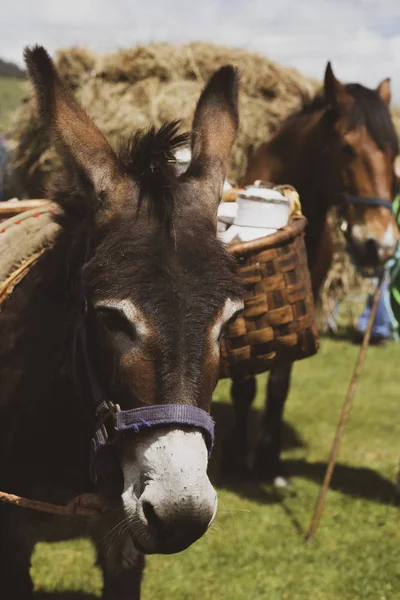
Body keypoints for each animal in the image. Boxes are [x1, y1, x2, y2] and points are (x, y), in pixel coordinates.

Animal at [231, 63, 400, 486]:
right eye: (346, 147)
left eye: (394, 152)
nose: (381, 245)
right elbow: (244, 382)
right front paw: (235, 458)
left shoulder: (296, 309)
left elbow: (279, 384)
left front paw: (270, 462)